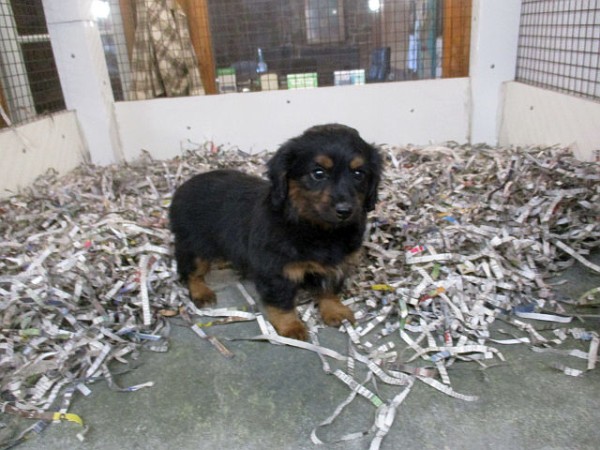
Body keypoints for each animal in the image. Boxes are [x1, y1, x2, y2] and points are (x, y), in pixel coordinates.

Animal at [169, 125, 384, 340]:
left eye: (359, 174)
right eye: (318, 173)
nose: (345, 211)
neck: (316, 228)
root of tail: (182, 188)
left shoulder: (336, 265)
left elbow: (329, 289)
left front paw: (335, 310)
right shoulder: (277, 271)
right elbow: (282, 302)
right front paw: (291, 327)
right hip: (194, 246)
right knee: (191, 271)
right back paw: (201, 292)